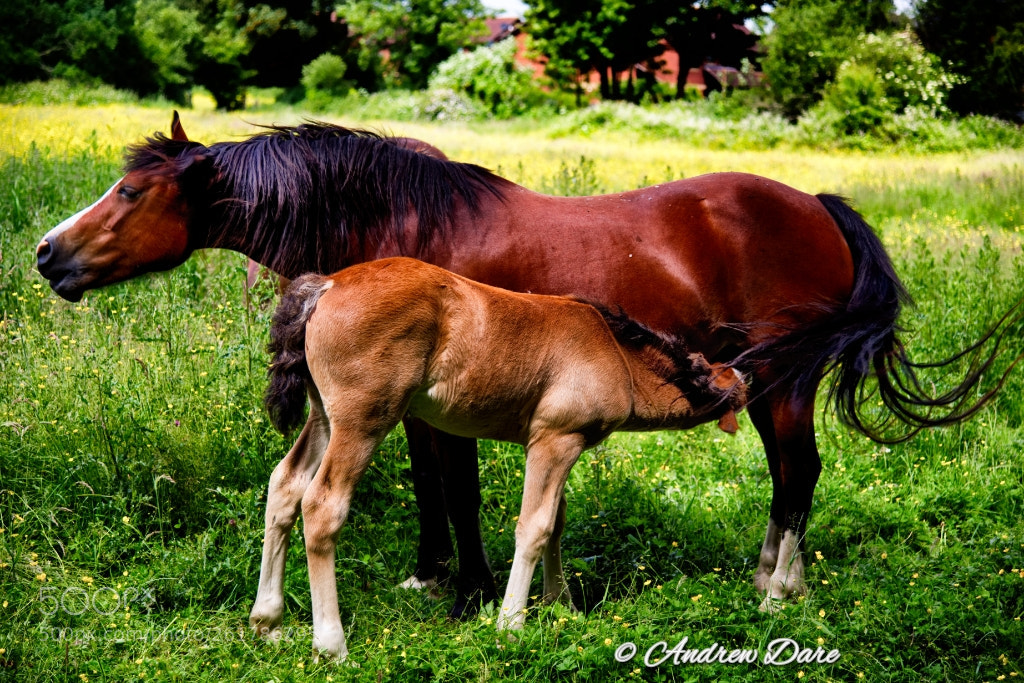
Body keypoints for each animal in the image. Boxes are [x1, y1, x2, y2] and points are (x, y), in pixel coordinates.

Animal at [261, 257, 748, 660]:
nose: (746, 381)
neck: (614, 352)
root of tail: (327, 285)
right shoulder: (555, 441)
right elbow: (535, 527)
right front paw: (511, 625)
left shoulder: (561, 449)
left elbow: (556, 523)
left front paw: (561, 607)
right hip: (364, 422)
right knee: (322, 505)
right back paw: (331, 645)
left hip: (324, 417)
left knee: (285, 485)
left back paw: (267, 622)